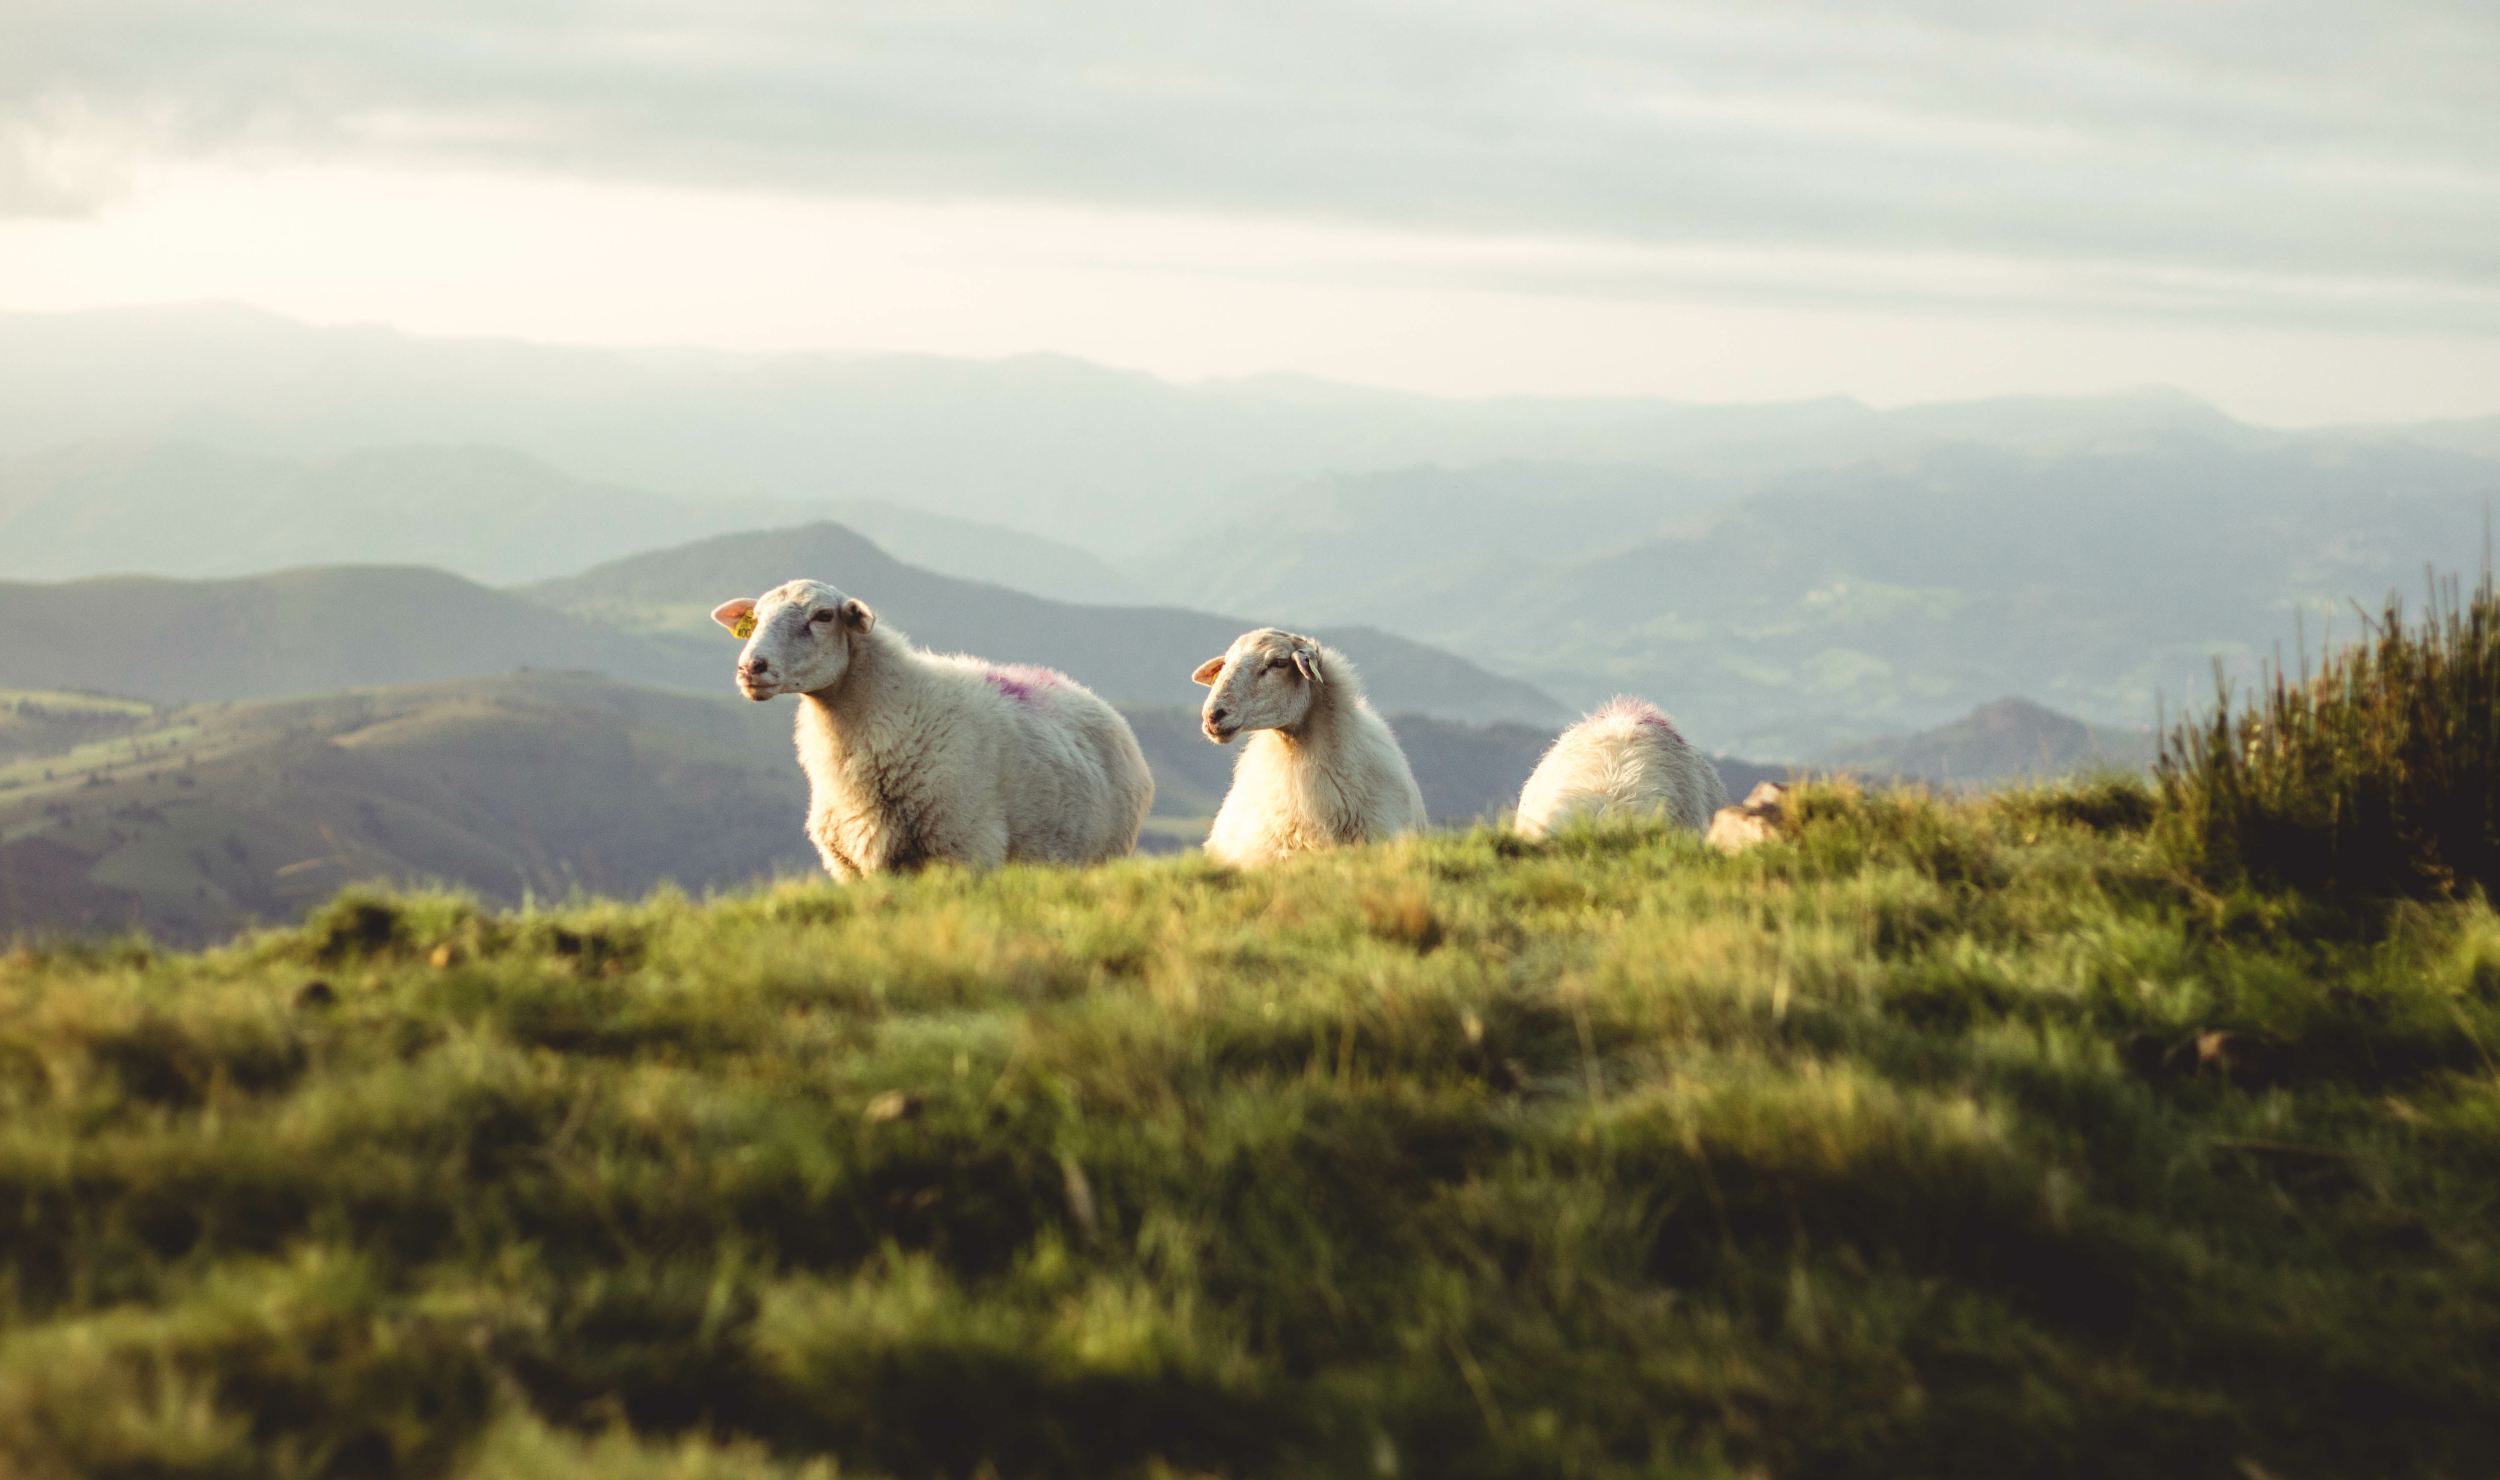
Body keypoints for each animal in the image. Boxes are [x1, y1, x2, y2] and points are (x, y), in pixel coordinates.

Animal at [715, 577, 1150, 880]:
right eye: (757, 618)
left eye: (823, 616)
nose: (750, 668)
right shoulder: (852, 867)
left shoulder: (967, 851)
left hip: (1101, 856)